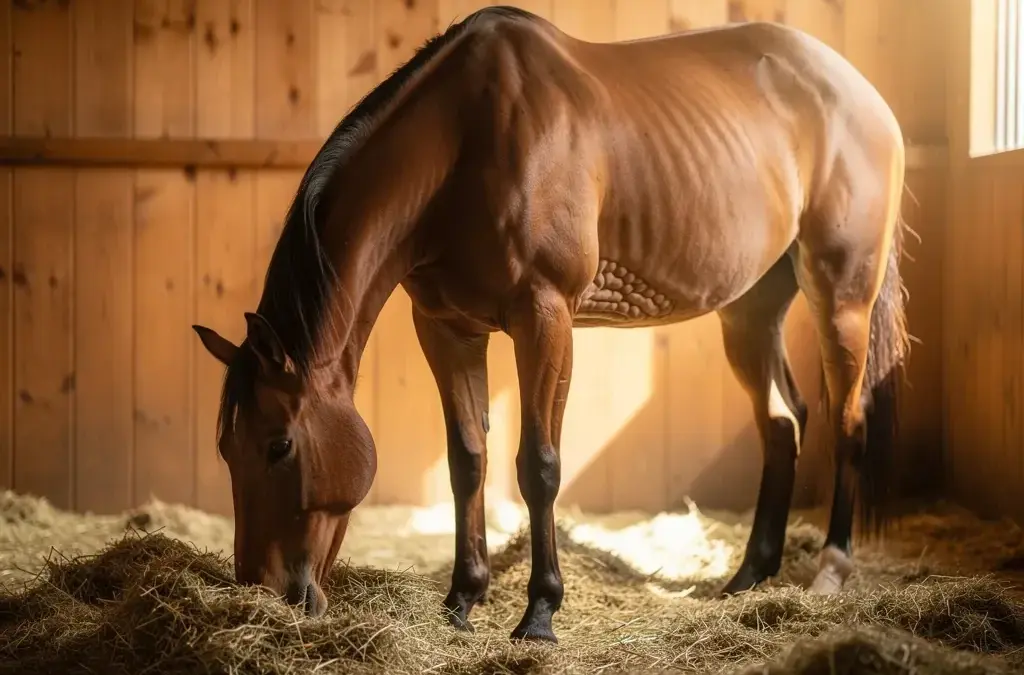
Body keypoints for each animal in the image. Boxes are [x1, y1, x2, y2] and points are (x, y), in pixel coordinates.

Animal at [192, 6, 910, 643]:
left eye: (279, 445)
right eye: (226, 447)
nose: (263, 588)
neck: (463, 142)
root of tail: (864, 95)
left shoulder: (544, 318)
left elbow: (537, 464)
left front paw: (539, 612)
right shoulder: (447, 327)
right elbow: (467, 460)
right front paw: (462, 598)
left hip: (841, 296)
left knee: (847, 419)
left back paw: (831, 570)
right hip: (750, 312)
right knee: (783, 422)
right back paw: (749, 576)